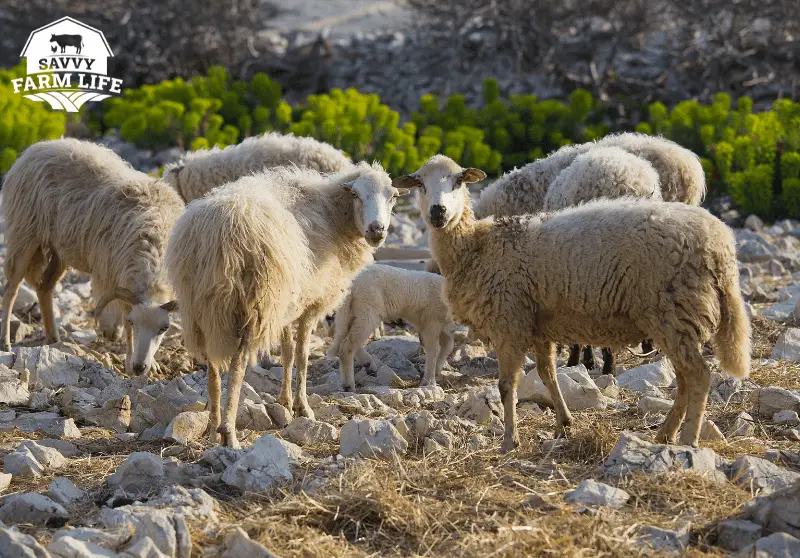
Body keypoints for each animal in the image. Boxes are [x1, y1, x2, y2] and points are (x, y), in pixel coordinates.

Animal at [1, 139, 184, 374]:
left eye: (164, 328)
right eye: (133, 322)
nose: (139, 367)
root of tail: (37, 147)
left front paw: (150, 364)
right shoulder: (118, 277)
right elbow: (125, 324)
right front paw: (129, 361)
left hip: (60, 250)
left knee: (45, 287)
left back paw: (53, 338)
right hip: (24, 234)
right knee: (11, 289)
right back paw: (6, 342)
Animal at [165, 161, 406, 448]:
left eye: (393, 196)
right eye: (356, 195)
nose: (377, 230)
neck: (333, 214)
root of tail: (212, 233)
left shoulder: (288, 304)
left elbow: (288, 352)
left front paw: (286, 403)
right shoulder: (310, 303)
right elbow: (302, 355)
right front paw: (303, 408)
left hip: (201, 309)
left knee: (212, 369)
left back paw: (213, 429)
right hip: (253, 304)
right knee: (237, 367)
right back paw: (229, 433)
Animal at [327, 263, 456, 391]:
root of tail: (352, 282)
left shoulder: (438, 325)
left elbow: (448, 344)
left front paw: (437, 370)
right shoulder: (432, 321)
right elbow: (434, 349)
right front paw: (429, 382)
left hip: (348, 311)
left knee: (343, 338)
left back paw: (368, 365)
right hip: (368, 309)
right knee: (347, 345)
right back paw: (349, 385)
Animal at [395, 155, 750, 452]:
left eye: (458, 181)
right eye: (420, 183)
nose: (438, 212)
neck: (476, 247)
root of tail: (721, 245)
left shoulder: (509, 321)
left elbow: (507, 385)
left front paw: (510, 440)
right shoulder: (537, 325)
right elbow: (547, 374)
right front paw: (563, 423)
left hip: (674, 311)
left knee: (699, 376)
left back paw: (688, 439)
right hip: (673, 319)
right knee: (686, 378)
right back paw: (666, 433)